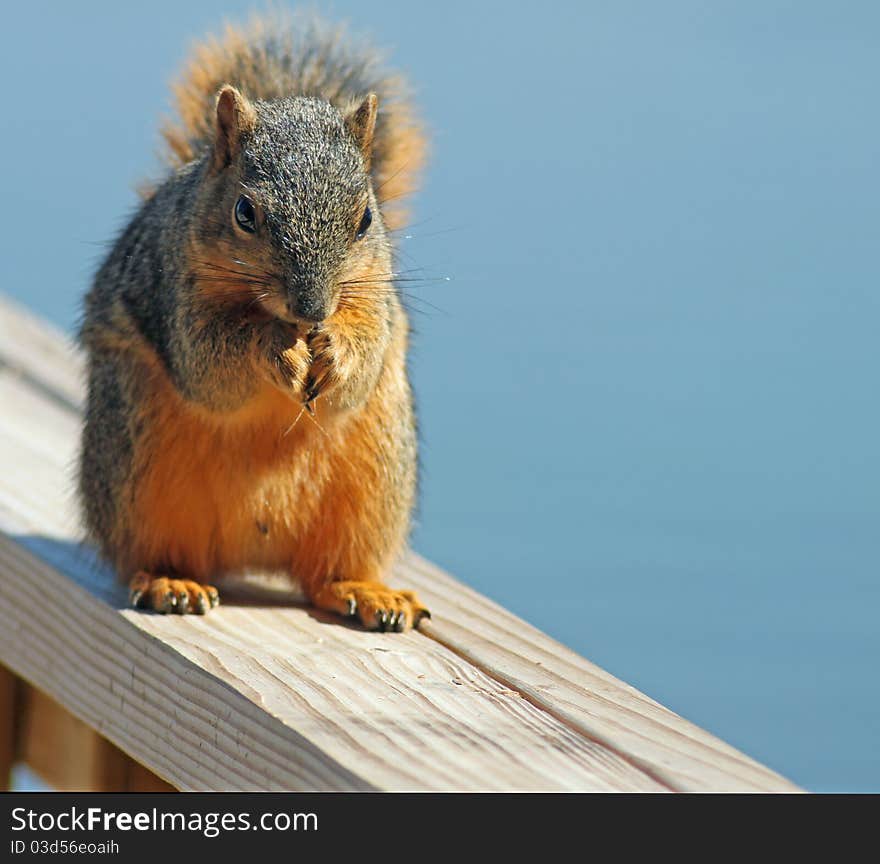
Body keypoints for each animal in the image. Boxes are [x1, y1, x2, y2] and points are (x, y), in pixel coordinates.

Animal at [79, 13, 430, 632]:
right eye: (245, 212)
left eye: (366, 218)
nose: (311, 310)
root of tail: (253, 551)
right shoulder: (176, 297)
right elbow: (208, 364)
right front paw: (276, 349)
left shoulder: (376, 302)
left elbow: (363, 356)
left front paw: (335, 351)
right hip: (134, 462)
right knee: (153, 551)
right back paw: (170, 581)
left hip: (375, 480)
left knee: (325, 574)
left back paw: (366, 592)